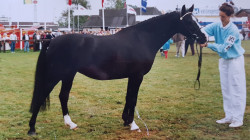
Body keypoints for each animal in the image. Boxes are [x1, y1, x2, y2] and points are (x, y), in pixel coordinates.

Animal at [27, 4, 207, 135]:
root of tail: (52, 40)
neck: (142, 39)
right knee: (42, 95)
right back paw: (32, 128)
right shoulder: (137, 76)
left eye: (197, 20)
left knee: (63, 96)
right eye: (189, 22)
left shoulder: (132, 76)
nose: (204, 38)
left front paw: (126, 121)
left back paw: (70, 124)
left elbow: (128, 97)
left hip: (68, 75)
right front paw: (133, 124)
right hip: (55, 75)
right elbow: (133, 98)